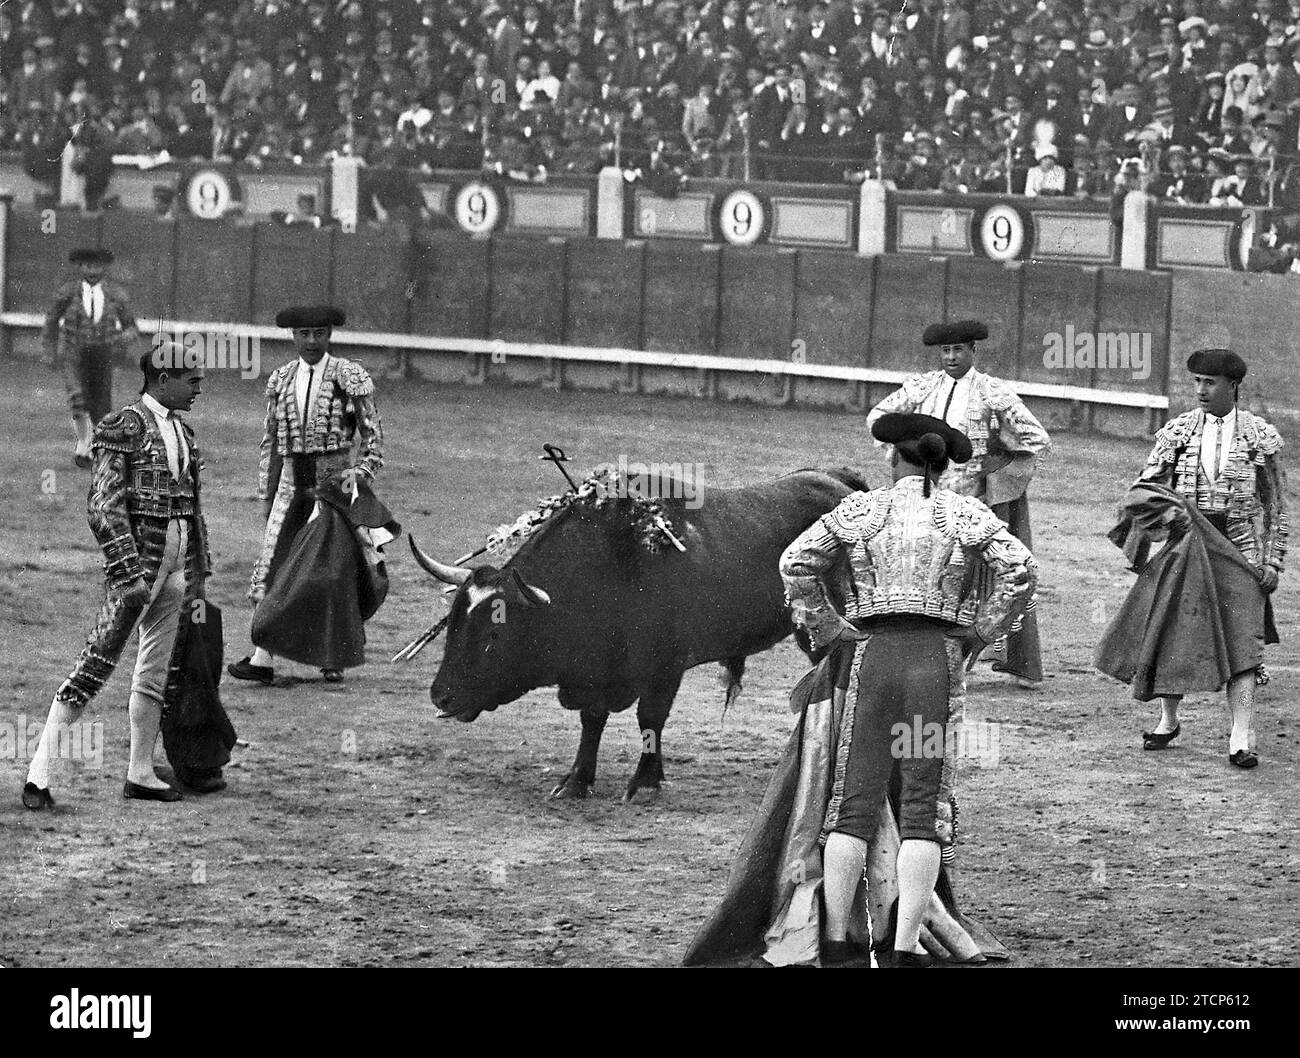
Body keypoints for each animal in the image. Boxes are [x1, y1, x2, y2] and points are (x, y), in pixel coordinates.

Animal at [410, 470, 868, 805]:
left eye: (493, 633)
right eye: (453, 624)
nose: (441, 695)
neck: (610, 569)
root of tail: (841, 482)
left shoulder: (665, 669)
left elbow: (650, 719)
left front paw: (645, 782)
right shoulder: (597, 673)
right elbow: (592, 720)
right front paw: (577, 780)